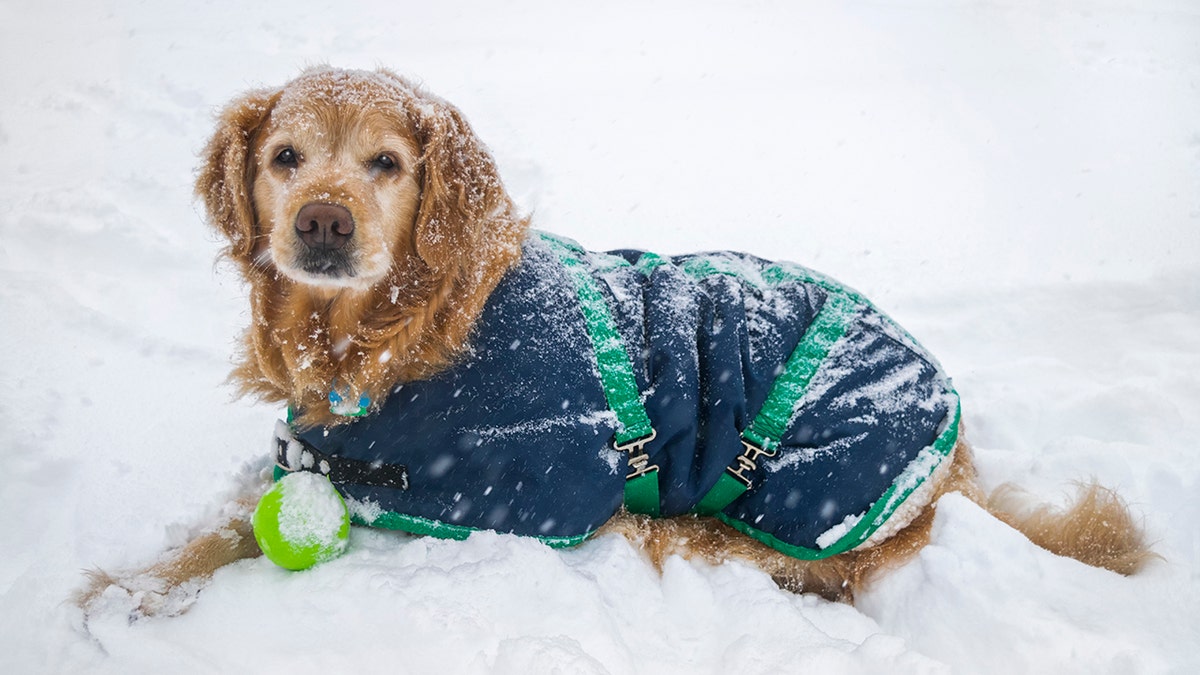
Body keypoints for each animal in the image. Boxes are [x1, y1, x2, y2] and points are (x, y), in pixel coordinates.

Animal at [77, 68, 1152, 614]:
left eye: (385, 163)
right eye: (284, 157)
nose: (323, 223)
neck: (401, 335)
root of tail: (955, 445)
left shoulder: (481, 499)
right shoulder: (315, 460)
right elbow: (212, 531)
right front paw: (122, 585)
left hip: (806, 497)